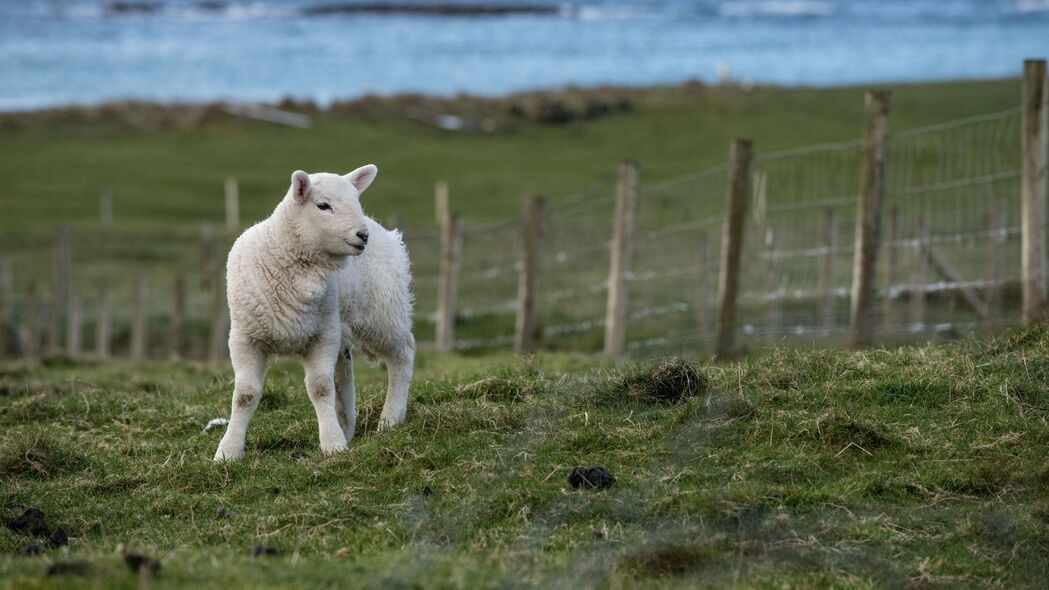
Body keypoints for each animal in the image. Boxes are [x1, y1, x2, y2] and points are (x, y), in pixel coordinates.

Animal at [212, 163, 413, 459]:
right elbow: (245, 395)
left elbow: (320, 388)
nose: (362, 235)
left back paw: (390, 419)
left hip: (382, 312)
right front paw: (228, 451)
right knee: (345, 373)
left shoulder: (323, 335)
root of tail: (388, 234)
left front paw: (332, 443)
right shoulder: (244, 338)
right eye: (323, 206)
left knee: (402, 355)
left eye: (356, 202)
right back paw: (347, 426)